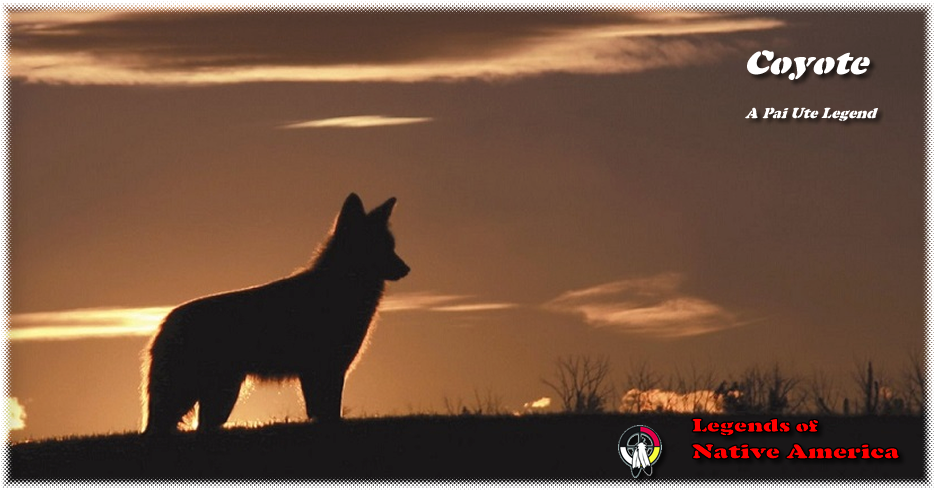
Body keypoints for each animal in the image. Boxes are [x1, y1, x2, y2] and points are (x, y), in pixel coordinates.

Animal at [142, 193, 409, 434]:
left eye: (391, 247)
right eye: (380, 247)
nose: (407, 269)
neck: (339, 286)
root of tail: (167, 321)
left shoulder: (324, 371)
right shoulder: (325, 370)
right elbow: (328, 413)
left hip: (221, 396)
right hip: (194, 395)